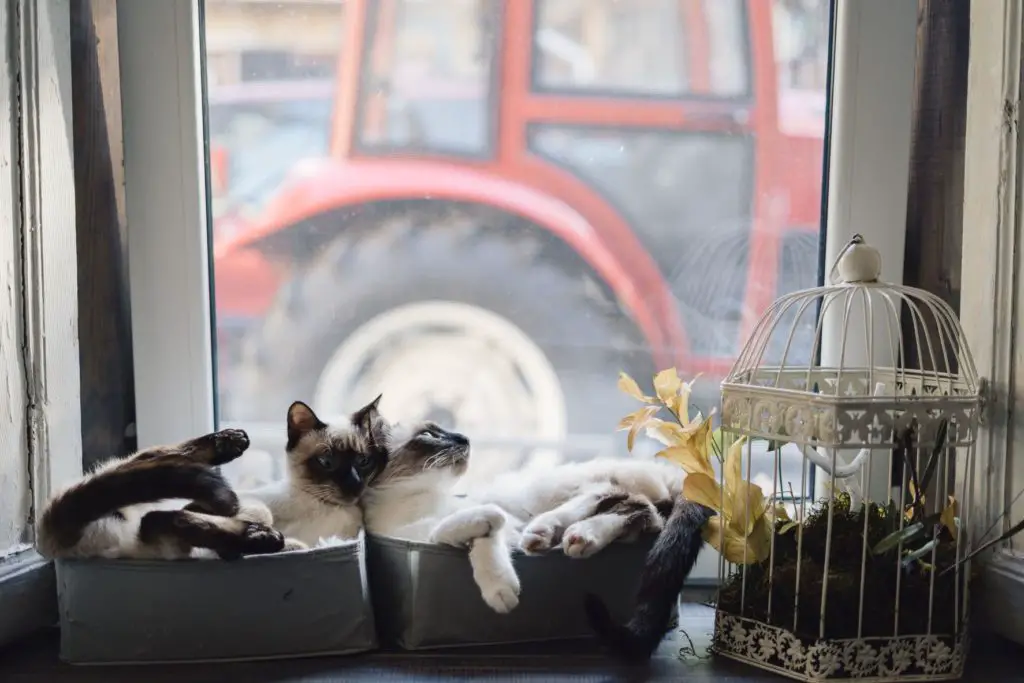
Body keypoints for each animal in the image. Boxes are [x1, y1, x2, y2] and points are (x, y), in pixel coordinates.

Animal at [239, 395, 391, 548]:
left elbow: (300, 544)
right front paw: (262, 533)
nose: (353, 483)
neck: (321, 506)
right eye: (326, 462)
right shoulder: (252, 497)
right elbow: (262, 512)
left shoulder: (335, 539)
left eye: (363, 461)